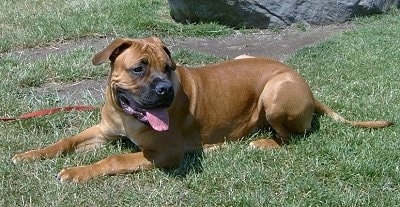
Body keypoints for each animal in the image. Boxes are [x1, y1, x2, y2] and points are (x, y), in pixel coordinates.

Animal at [12, 37, 394, 183]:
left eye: (168, 68)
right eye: (139, 68)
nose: (165, 90)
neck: (126, 114)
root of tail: (306, 86)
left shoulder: (163, 154)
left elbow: (115, 158)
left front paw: (78, 172)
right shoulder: (103, 131)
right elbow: (65, 141)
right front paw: (30, 154)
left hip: (275, 93)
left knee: (290, 138)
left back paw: (260, 142)